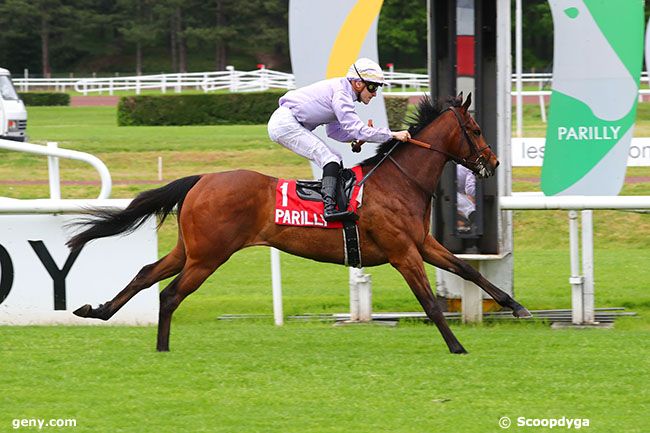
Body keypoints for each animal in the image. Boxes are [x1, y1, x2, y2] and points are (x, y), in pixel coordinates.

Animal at [68, 93, 528, 352]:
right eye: (475, 129)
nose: (493, 162)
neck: (399, 182)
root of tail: (201, 179)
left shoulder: (422, 244)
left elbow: (467, 269)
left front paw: (516, 306)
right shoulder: (402, 253)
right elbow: (429, 302)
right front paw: (457, 346)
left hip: (191, 249)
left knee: (148, 274)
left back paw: (102, 311)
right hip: (208, 256)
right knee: (170, 294)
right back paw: (159, 345)